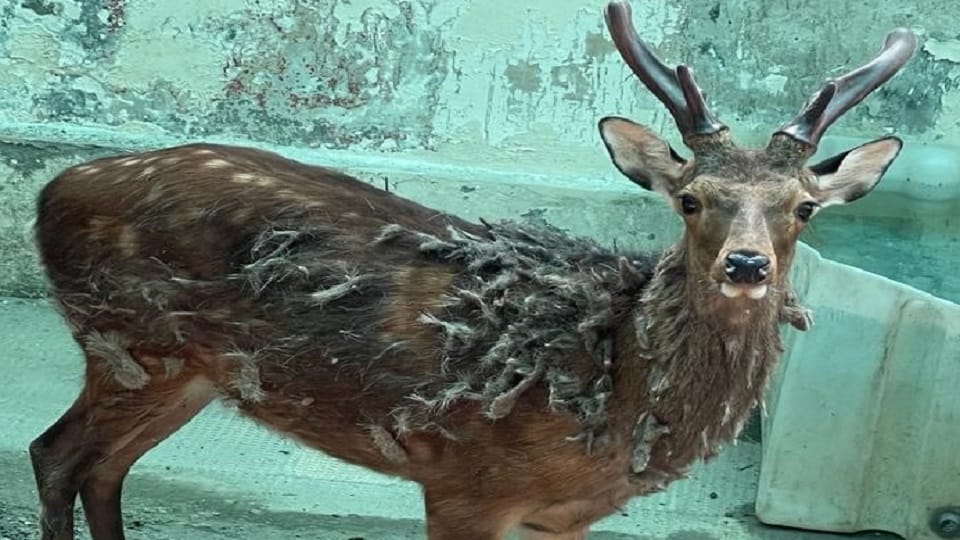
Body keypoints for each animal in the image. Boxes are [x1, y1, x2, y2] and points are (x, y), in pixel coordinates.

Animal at [28, 1, 916, 539]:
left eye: (804, 208)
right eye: (693, 199)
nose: (746, 265)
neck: (610, 385)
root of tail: (51, 189)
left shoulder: (563, 518)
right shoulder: (465, 481)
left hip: (187, 372)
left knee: (101, 466)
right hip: (130, 341)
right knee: (55, 453)